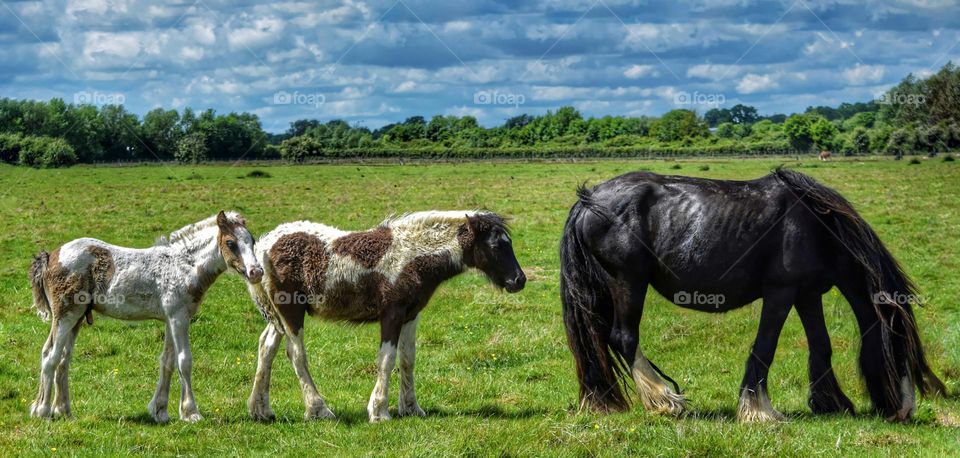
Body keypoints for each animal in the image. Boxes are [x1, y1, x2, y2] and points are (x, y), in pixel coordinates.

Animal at [28, 211, 263, 422]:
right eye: (231, 243)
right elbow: (184, 360)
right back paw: (42, 411)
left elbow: (167, 362)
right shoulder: (179, 318)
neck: (184, 266)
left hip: (77, 318)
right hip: (66, 315)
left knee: (62, 359)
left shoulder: (171, 319)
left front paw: (160, 411)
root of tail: (51, 256)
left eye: (251, 241)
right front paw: (191, 413)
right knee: (51, 356)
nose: (256, 272)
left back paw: (64, 411)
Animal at [244, 210, 525, 422]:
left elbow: (408, 359)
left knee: (266, 347)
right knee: (296, 354)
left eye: (509, 243)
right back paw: (318, 410)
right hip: (291, 311)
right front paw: (379, 411)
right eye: (495, 245)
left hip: (277, 316)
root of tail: (264, 246)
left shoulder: (411, 314)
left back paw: (261, 410)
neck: (412, 256)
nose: (519, 280)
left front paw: (411, 408)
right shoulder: (392, 313)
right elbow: (387, 359)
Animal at [560, 168, 946, 422]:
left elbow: (821, 346)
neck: (818, 227)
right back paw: (664, 400)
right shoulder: (781, 293)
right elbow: (765, 348)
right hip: (628, 281)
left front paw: (832, 403)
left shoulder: (807, 294)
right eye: (899, 347)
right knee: (624, 338)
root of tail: (589, 200)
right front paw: (759, 411)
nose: (906, 410)